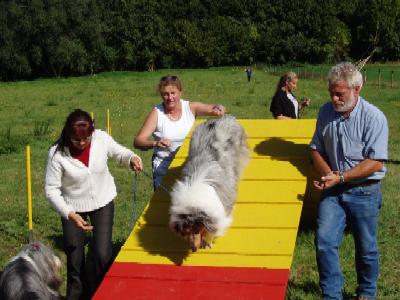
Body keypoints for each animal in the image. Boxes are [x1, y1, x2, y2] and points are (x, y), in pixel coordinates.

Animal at [170, 116, 250, 252]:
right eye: (186, 231)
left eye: (196, 229)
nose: (193, 249)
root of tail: (223, 118)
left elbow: (211, 229)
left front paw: (207, 242)